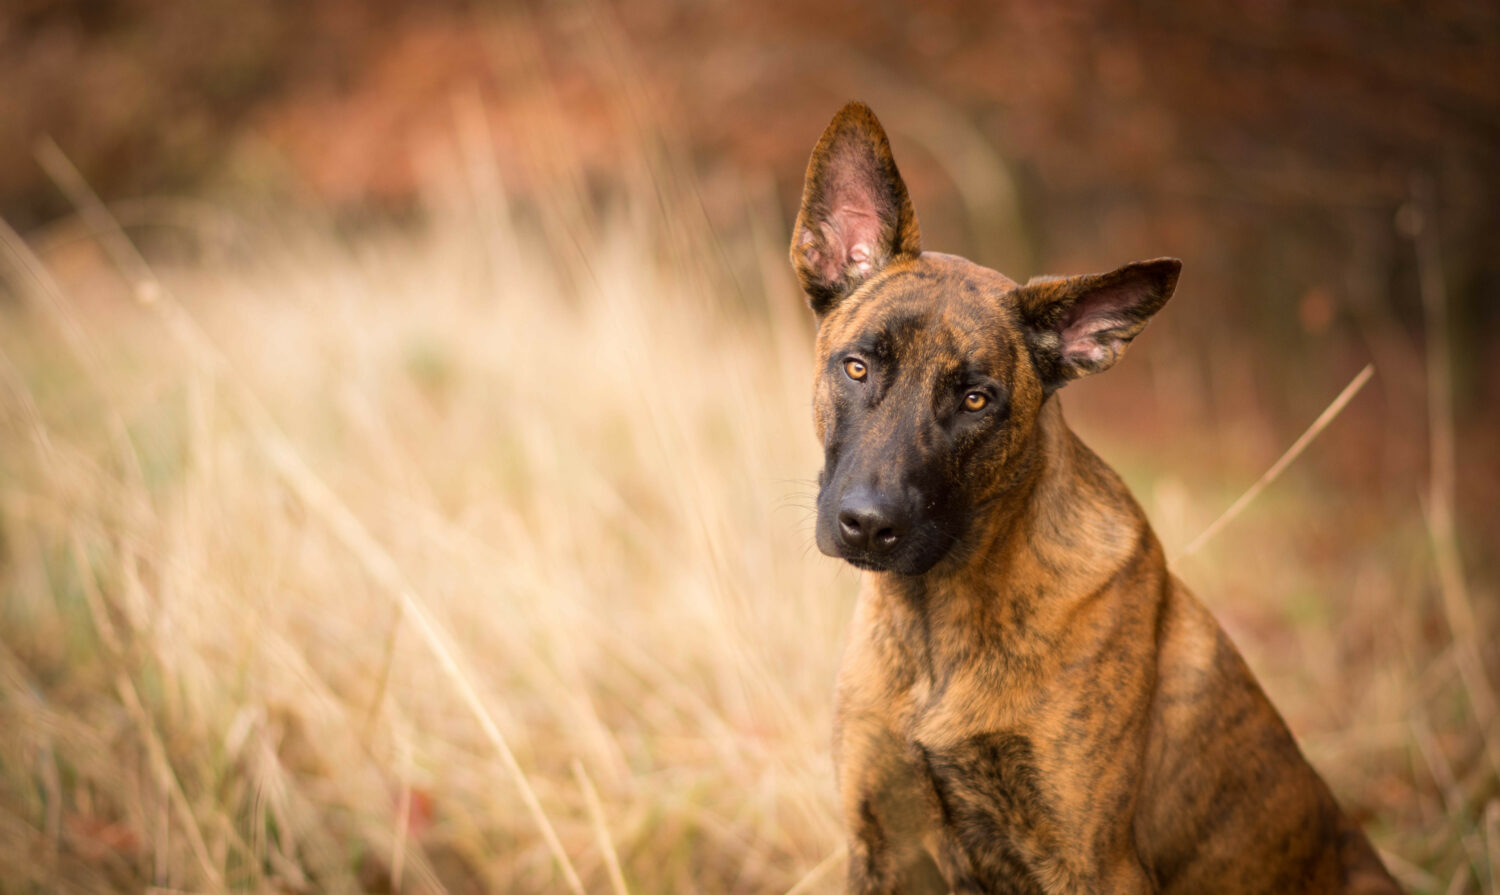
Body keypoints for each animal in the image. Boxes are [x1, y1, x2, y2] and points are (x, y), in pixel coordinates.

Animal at [792, 102, 1398, 893]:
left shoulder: (1095, 863)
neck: (937, 622)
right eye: (858, 366)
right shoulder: (883, 846)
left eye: (977, 399)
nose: (867, 525)